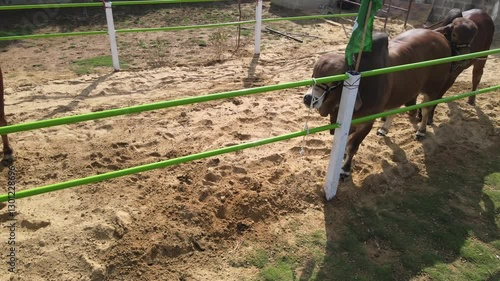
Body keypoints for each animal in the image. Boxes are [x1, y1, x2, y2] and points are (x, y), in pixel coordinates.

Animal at [302, 19, 478, 178]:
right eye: (314, 75)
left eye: (333, 82)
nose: (308, 98)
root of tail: (439, 36)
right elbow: (345, 143)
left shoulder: (367, 122)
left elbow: (352, 146)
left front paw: (345, 169)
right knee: (395, 108)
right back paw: (384, 129)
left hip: (433, 88)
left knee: (426, 109)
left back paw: (421, 131)